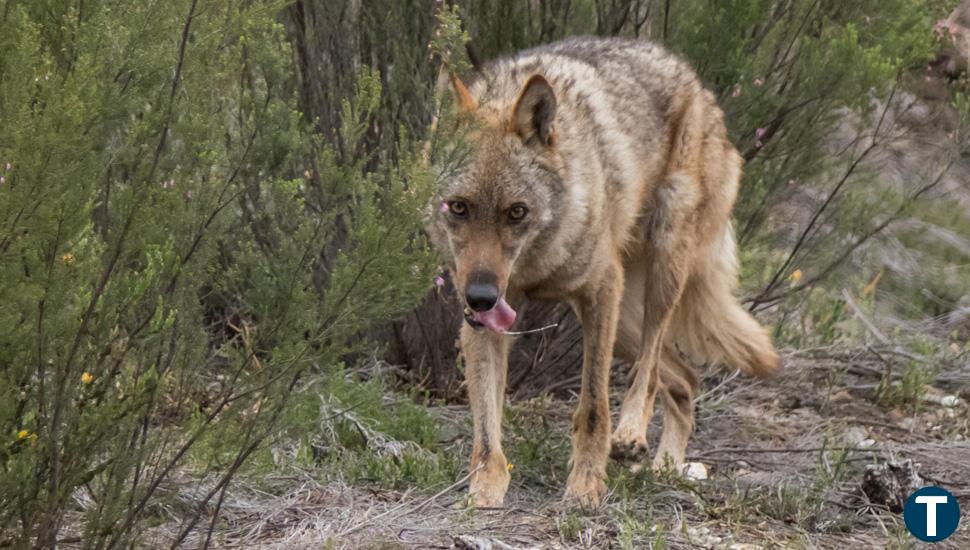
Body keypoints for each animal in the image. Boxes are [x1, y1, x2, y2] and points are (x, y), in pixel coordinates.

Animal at [428, 36, 776, 512]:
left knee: (649, 370)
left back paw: (631, 434)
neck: (537, 263)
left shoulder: (599, 291)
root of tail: (699, 86)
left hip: (658, 274)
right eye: (458, 207)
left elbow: (593, 406)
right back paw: (667, 467)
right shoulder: (485, 321)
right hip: (625, 323)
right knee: (686, 379)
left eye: (516, 212)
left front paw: (586, 487)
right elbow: (485, 423)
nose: (481, 296)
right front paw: (485, 488)